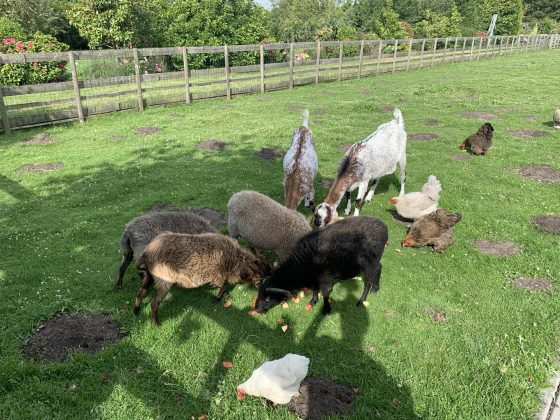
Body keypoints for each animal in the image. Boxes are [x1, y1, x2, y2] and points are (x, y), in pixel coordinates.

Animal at [133, 233, 270, 324]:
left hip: (149, 277)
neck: (236, 260)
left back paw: (136, 311)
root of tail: (146, 253)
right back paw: (156, 324)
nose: (269, 275)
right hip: (164, 281)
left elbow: (224, 286)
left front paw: (225, 296)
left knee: (140, 292)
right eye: (262, 266)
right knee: (154, 303)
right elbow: (224, 286)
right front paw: (218, 298)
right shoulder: (218, 276)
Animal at [256, 217, 388, 316]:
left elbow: (325, 294)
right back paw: (376, 288)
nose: (257, 310)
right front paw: (313, 301)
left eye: (268, 299)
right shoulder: (314, 278)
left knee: (368, 283)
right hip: (375, 260)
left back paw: (361, 300)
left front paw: (326, 309)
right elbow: (315, 289)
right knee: (379, 267)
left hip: (369, 263)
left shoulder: (325, 279)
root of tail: (384, 227)